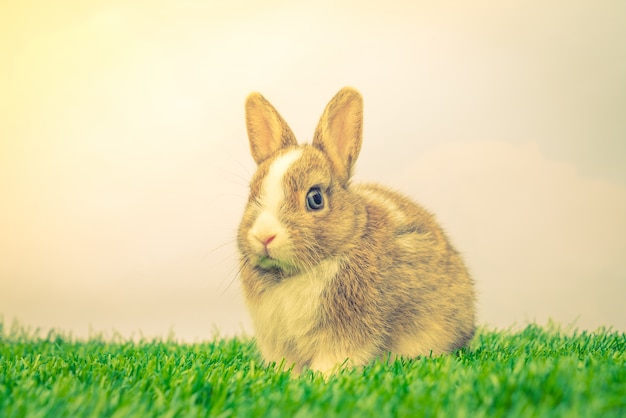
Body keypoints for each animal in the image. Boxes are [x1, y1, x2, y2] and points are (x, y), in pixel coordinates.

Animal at [235, 86, 472, 374]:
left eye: (315, 198)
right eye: (252, 192)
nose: (263, 236)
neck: (293, 274)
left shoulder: (347, 333)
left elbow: (334, 359)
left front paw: (321, 378)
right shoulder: (278, 339)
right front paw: (285, 376)